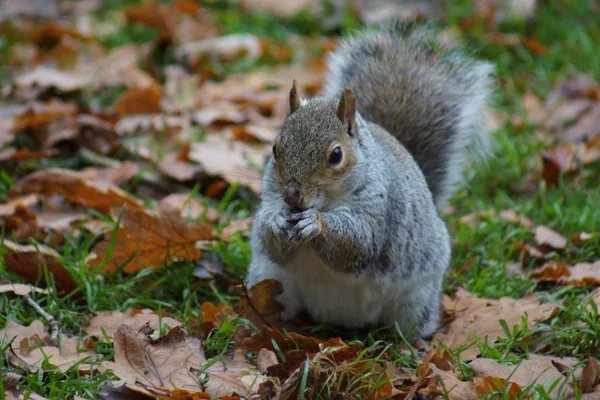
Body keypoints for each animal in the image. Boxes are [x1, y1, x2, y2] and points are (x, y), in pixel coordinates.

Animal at [244, 23, 492, 340]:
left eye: (336, 155)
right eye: (275, 148)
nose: (292, 196)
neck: (327, 202)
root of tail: (340, 318)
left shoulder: (381, 208)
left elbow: (359, 243)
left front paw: (316, 223)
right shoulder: (270, 196)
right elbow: (272, 241)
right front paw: (276, 222)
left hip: (416, 301)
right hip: (273, 281)